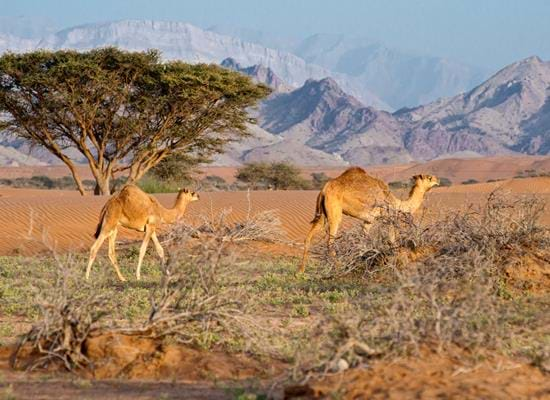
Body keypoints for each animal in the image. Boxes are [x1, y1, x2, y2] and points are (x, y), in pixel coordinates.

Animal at [300, 167, 442, 274]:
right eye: (429, 177)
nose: (438, 180)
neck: (395, 202)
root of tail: (323, 190)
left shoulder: (368, 221)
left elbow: (364, 241)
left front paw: (363, 264)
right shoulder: (387, 217)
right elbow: (391, 240)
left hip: (322, 214)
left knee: (308, 238)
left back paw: (301, 271)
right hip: (334, 212)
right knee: (330, 242)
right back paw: (338, 268)